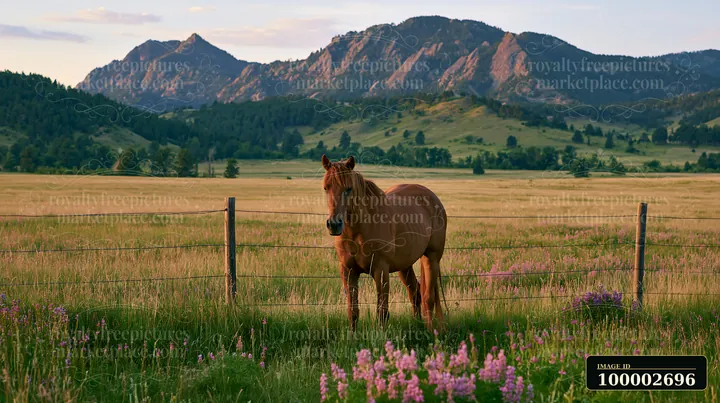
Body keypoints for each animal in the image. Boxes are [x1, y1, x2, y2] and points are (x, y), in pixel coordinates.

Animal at [321, 155, 448, 330]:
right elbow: (353, 311)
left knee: (428, 297)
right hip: (405, 265)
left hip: (431, 259)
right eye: (326, 188)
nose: (334, 224)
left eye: (349, 188)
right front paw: (352, 336)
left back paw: (431, 332)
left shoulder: (380, 270)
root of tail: (432, 197)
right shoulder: (348, 271)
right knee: (415, 293)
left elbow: (382, 311)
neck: (359, 230)